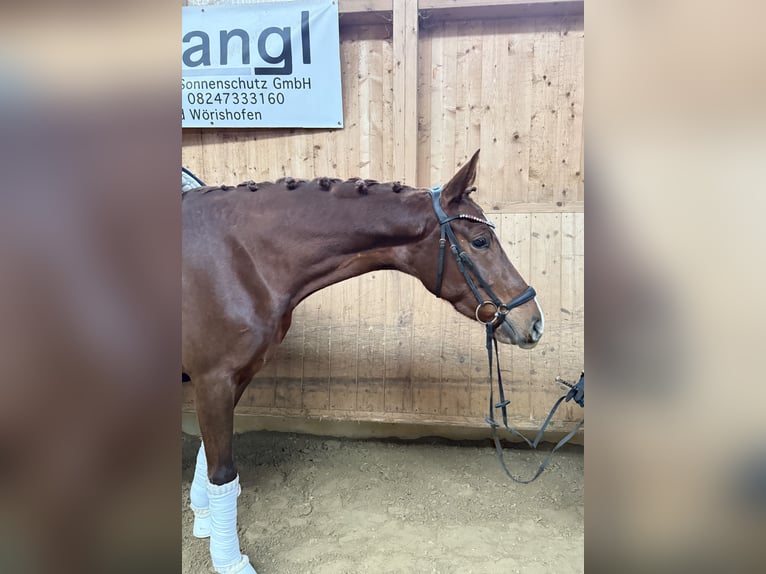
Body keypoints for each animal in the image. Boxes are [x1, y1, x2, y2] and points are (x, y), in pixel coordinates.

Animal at [181, 150, 544, 574]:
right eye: (481, 240)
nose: (534, 322)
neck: (239, 256)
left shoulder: (236, 377)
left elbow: (209, 457)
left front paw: (204, 521)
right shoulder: (213, 379)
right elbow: (222, 471)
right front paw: (230, 562)